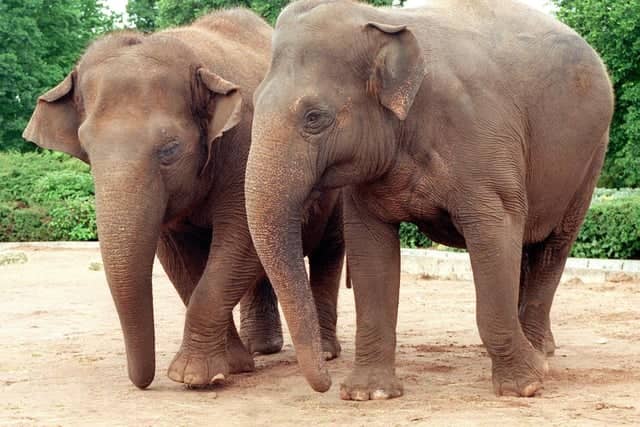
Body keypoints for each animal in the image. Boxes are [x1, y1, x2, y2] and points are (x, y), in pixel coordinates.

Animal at [22, 8, 344, 389]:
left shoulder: (247, 142)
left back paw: (325, 352)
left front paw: (194, 376)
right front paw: (232, 366)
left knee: (329, 251)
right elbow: (180, 261)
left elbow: (241, 238)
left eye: (170, 149)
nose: (142, 382)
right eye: (87, 150)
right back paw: (261, 349)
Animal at [244, 0, 614, 400]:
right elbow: (369, 248)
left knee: (553, 246)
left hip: (590, 159)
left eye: (315, 117)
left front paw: (525, 386)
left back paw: (540, 355)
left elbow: (495, 230)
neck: (384, 21)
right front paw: (368, 394)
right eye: (254, 103)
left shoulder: (482, 140)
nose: (326, 383)